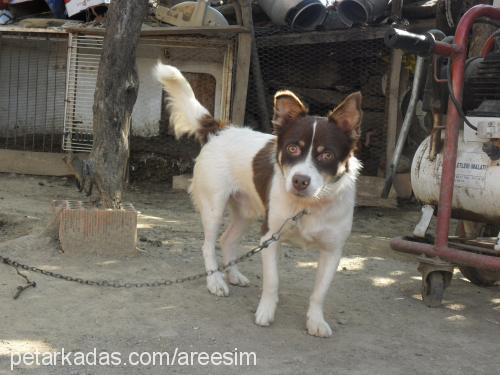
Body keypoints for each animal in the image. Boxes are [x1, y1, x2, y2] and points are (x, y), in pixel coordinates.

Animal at [154, 64, 362, 338]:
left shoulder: (332, 250)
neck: (307, 206)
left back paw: (233, 275)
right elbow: (272, 281)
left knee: (227, 240)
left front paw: (315, 321)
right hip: (214, 206)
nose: (300, 180)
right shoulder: (269, 237)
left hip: (246, 211)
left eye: (326, 154)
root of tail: (220, 129)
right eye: (293, 148)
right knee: (208, 245)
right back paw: (215, 281)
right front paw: (266, 312)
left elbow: (319, 293)